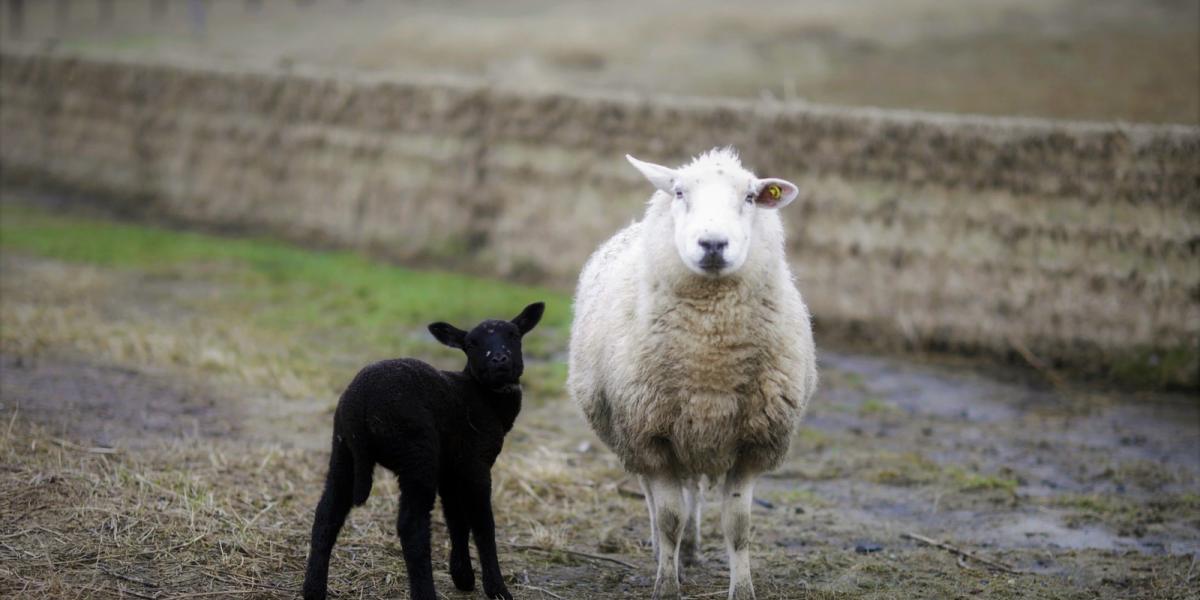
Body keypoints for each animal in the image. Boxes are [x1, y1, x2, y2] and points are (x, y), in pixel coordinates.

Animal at [302, 302, 547, 600]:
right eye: (471, 343)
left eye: (514, 335)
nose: (499, 359)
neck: (484, 399)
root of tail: (361, 402)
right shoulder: (475, 464)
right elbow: (482, 525)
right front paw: (497, 588)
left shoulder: (451, 469)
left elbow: (456, 519)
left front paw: (463, 576)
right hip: (416, 452)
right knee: (412, 526)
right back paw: (425, 592)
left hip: (343, 451)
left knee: (327, 514)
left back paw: (313, 589)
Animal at [568, 146, 816, 600]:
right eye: (680, 192)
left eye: (751, 197)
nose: (713, 243)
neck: (709, 363)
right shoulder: (651, 437)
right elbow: (669, 518)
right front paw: (666, 585)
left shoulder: (753, 443)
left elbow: (738, 526)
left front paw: (743, 589)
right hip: (637, 432)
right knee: (657, 498)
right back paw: (665, 552)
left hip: (697, 437)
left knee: (694, 491)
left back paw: (692, 549)